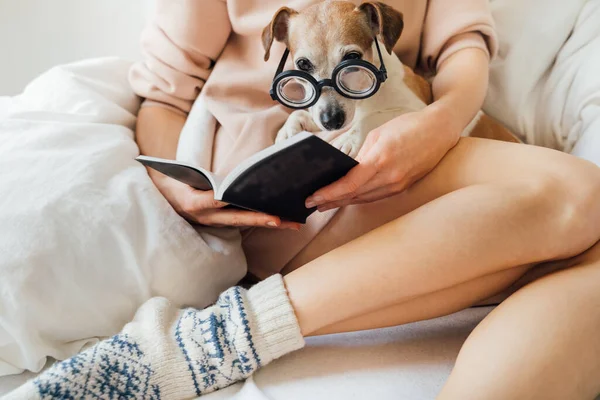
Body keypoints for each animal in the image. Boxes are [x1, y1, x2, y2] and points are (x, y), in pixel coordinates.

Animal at [262, 0, 520, 158]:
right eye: (303, 65)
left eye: (352, 58)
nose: (332, 121)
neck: (363, 97)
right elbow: (300, 113)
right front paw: (288, 131)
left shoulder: (418, 111)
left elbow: (373, 118)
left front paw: (349, 139)